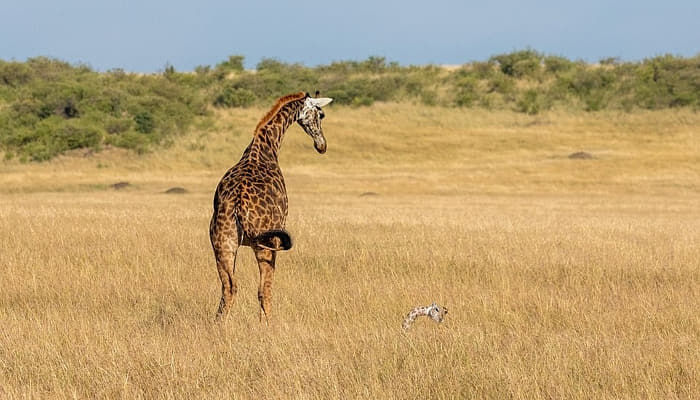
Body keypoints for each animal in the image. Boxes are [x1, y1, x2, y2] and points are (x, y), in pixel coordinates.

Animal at [209, 91, 332, 322]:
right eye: (321, 114)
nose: (322, 146)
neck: (267, 145)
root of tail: (238, 204)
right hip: (267, 243)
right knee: (263, 288)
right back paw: (268, 323)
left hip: (222, 244)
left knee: (229, 286)